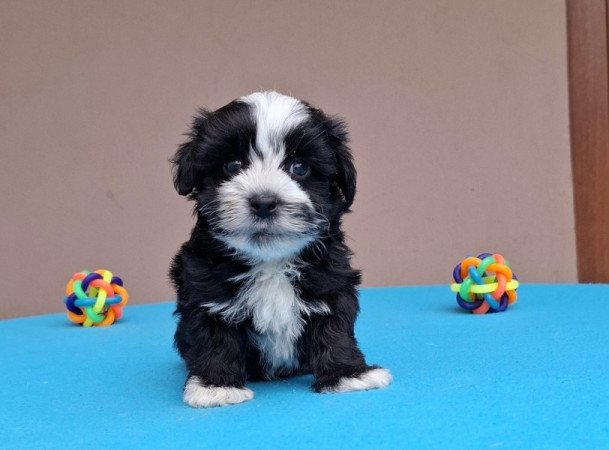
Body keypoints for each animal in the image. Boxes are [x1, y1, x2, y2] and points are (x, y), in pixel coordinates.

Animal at [169, 91, 392, 408]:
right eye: (233, 165)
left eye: (299, 167)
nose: (264, 202)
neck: (270, 262)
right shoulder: (204, 290)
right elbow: (214, 336)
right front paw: (215, 386)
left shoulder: (332, 283)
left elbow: (334, 329)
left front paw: (347, 374)